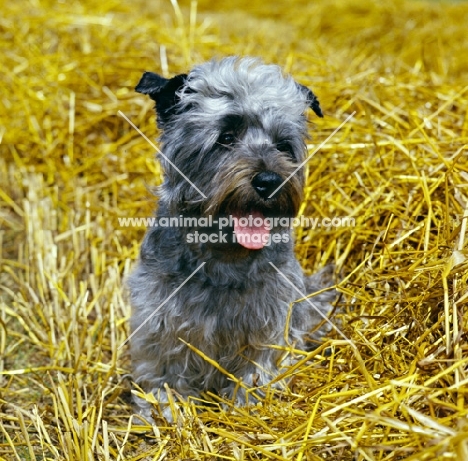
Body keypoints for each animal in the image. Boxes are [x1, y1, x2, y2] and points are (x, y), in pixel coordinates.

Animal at [126, 56, 334, 420]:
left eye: (283, 145)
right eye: (225, 137)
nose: (269, 181)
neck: (224, 257)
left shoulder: (270, 319)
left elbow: (258, 364)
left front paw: (249, 402)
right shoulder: (160, 320)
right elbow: (165, 367)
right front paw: (167, 408)